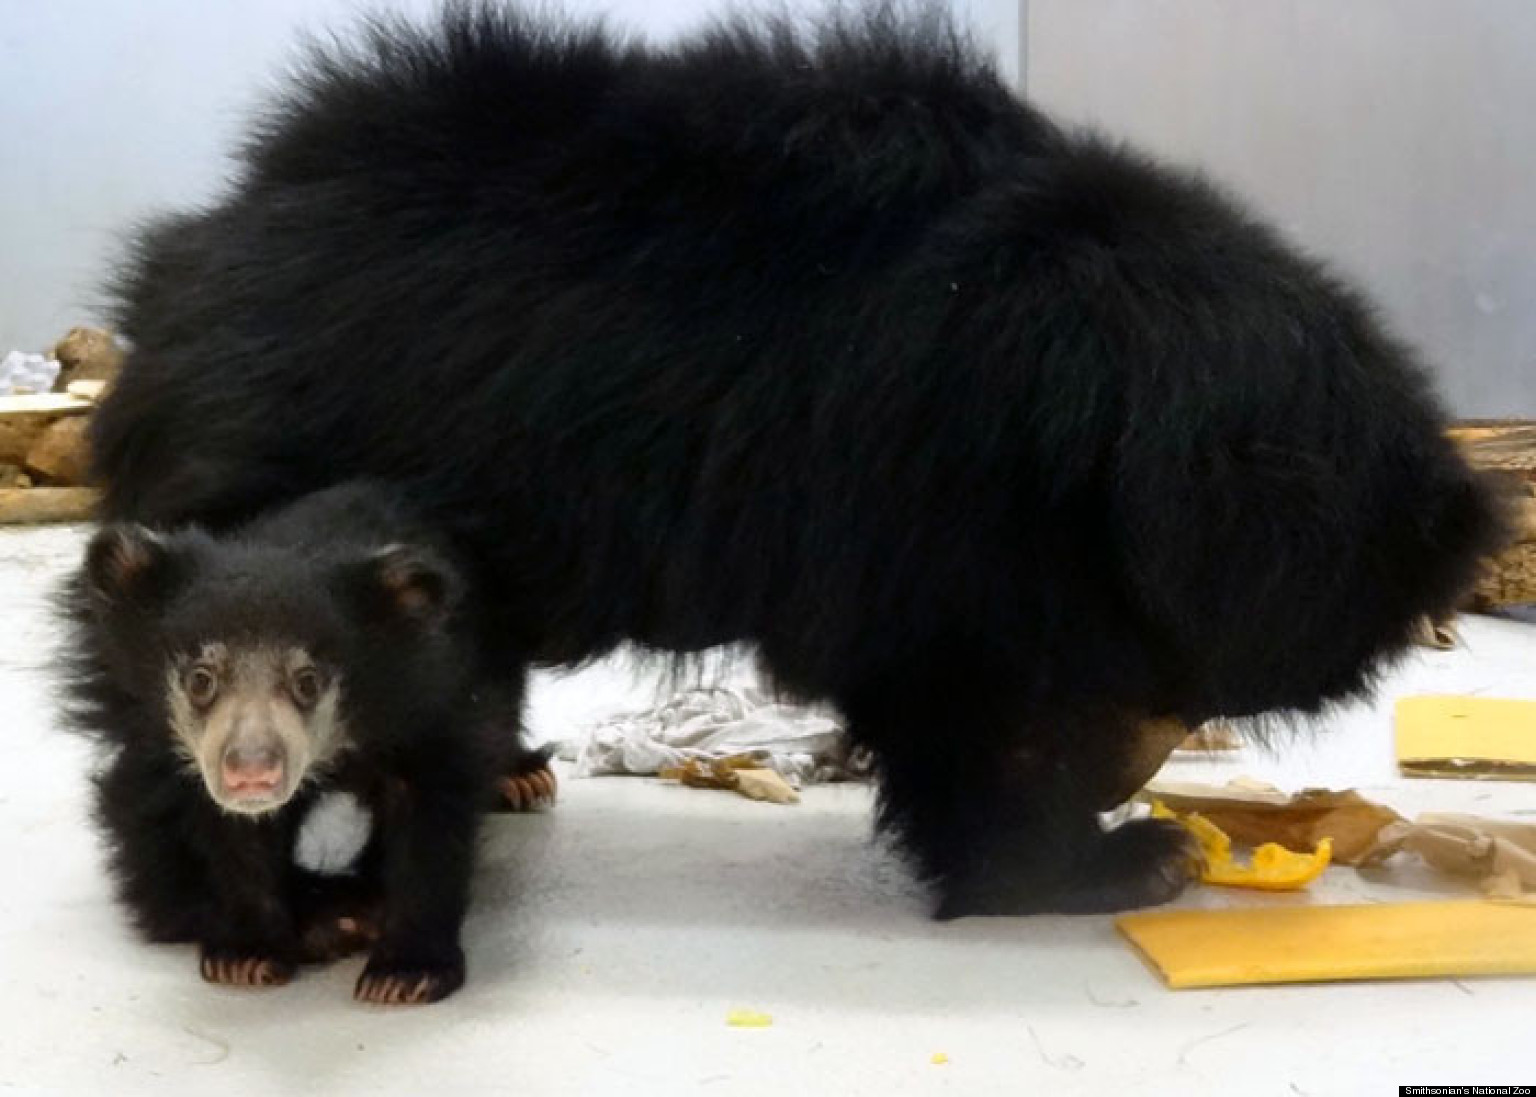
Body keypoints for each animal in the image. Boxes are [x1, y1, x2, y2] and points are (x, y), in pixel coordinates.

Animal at [58, 481, 553, 1003]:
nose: (251, 771)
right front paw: (246, 956)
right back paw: (334, 919)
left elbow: (432, 817)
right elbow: (237, 839)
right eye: (200, 679)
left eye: (307, 682)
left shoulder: (431, 700)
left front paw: (404, 974)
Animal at [82, 3, 1508, 918]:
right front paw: (1108, 858)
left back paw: (509, 766)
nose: (1124, 776)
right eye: (1160, 663)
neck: (1110, 424)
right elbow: (967, 700)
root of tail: (185, 261)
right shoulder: (920, 494)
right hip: (273, 496)